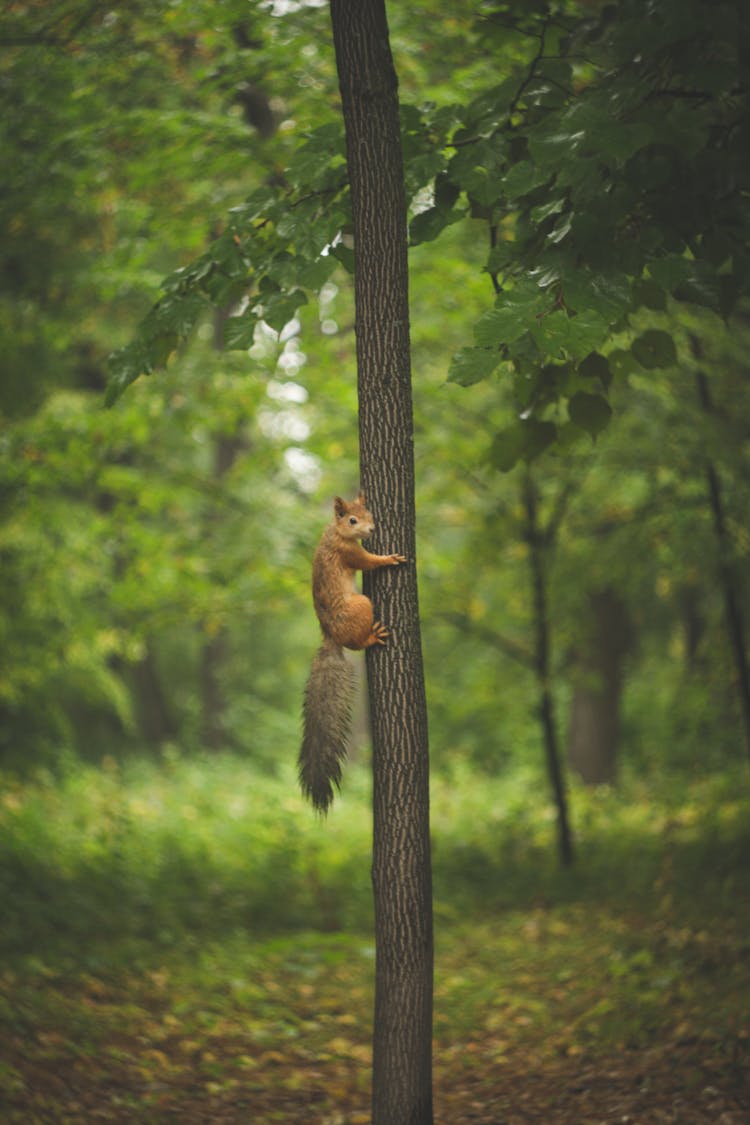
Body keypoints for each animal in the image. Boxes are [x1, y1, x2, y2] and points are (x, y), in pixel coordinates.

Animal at [299, 488, 407, 814]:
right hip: (362, 605)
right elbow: (369, 561)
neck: (335, 532)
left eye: (369, 514)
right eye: (352, 520)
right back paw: (373, 637)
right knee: (359, 643)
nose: (371, 530)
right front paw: (389, 558)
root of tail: (331, 637)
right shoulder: (350, 554)